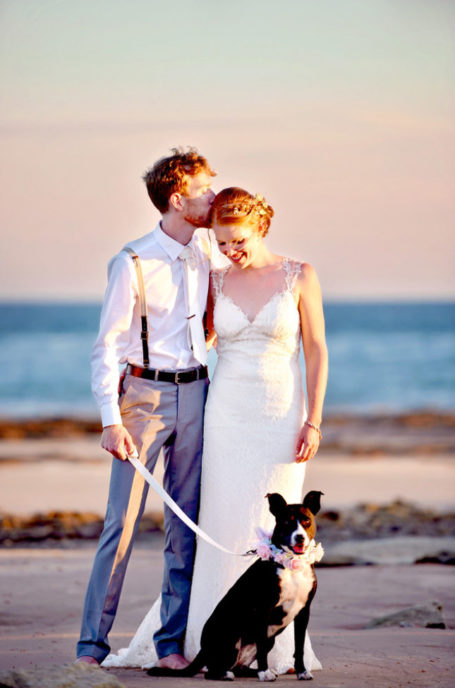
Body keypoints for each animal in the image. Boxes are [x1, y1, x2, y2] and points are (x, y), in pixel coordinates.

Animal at [148, 492, 322, 680]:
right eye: (286, 522)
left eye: (306, 521)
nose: (300, 537)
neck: (291, 565)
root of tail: (202, 650)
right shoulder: (264, 609)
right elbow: (262, 648)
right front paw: (264, 673)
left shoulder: (304, 611)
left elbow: (299, 647)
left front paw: (302, 671)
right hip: (231, 638)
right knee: (212, 671)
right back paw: (228, 674)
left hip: (268, 640)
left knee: (240, 667)